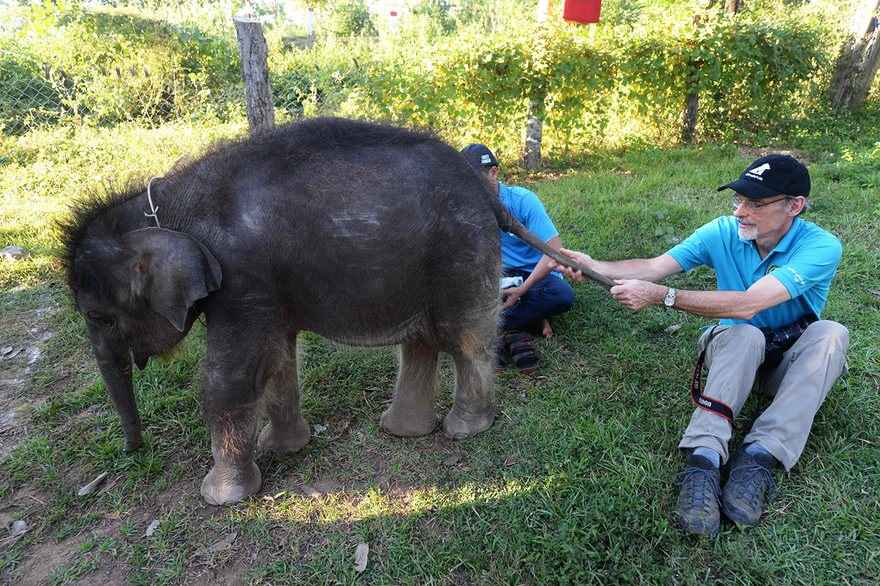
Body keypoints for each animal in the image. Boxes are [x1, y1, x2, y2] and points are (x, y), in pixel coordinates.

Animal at [62, 117, 596, 502]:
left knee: (466, 339)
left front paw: (221, 496)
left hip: (462, 250)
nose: (134, 452)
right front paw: (282, 448)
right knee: (422, 340)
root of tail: (487, 193)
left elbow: (230, 376)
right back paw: (402, 430)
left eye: (98, 316)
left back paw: (465, 430)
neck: (163, 206)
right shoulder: (262, 289)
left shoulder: (241, 278)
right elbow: (278, 358)